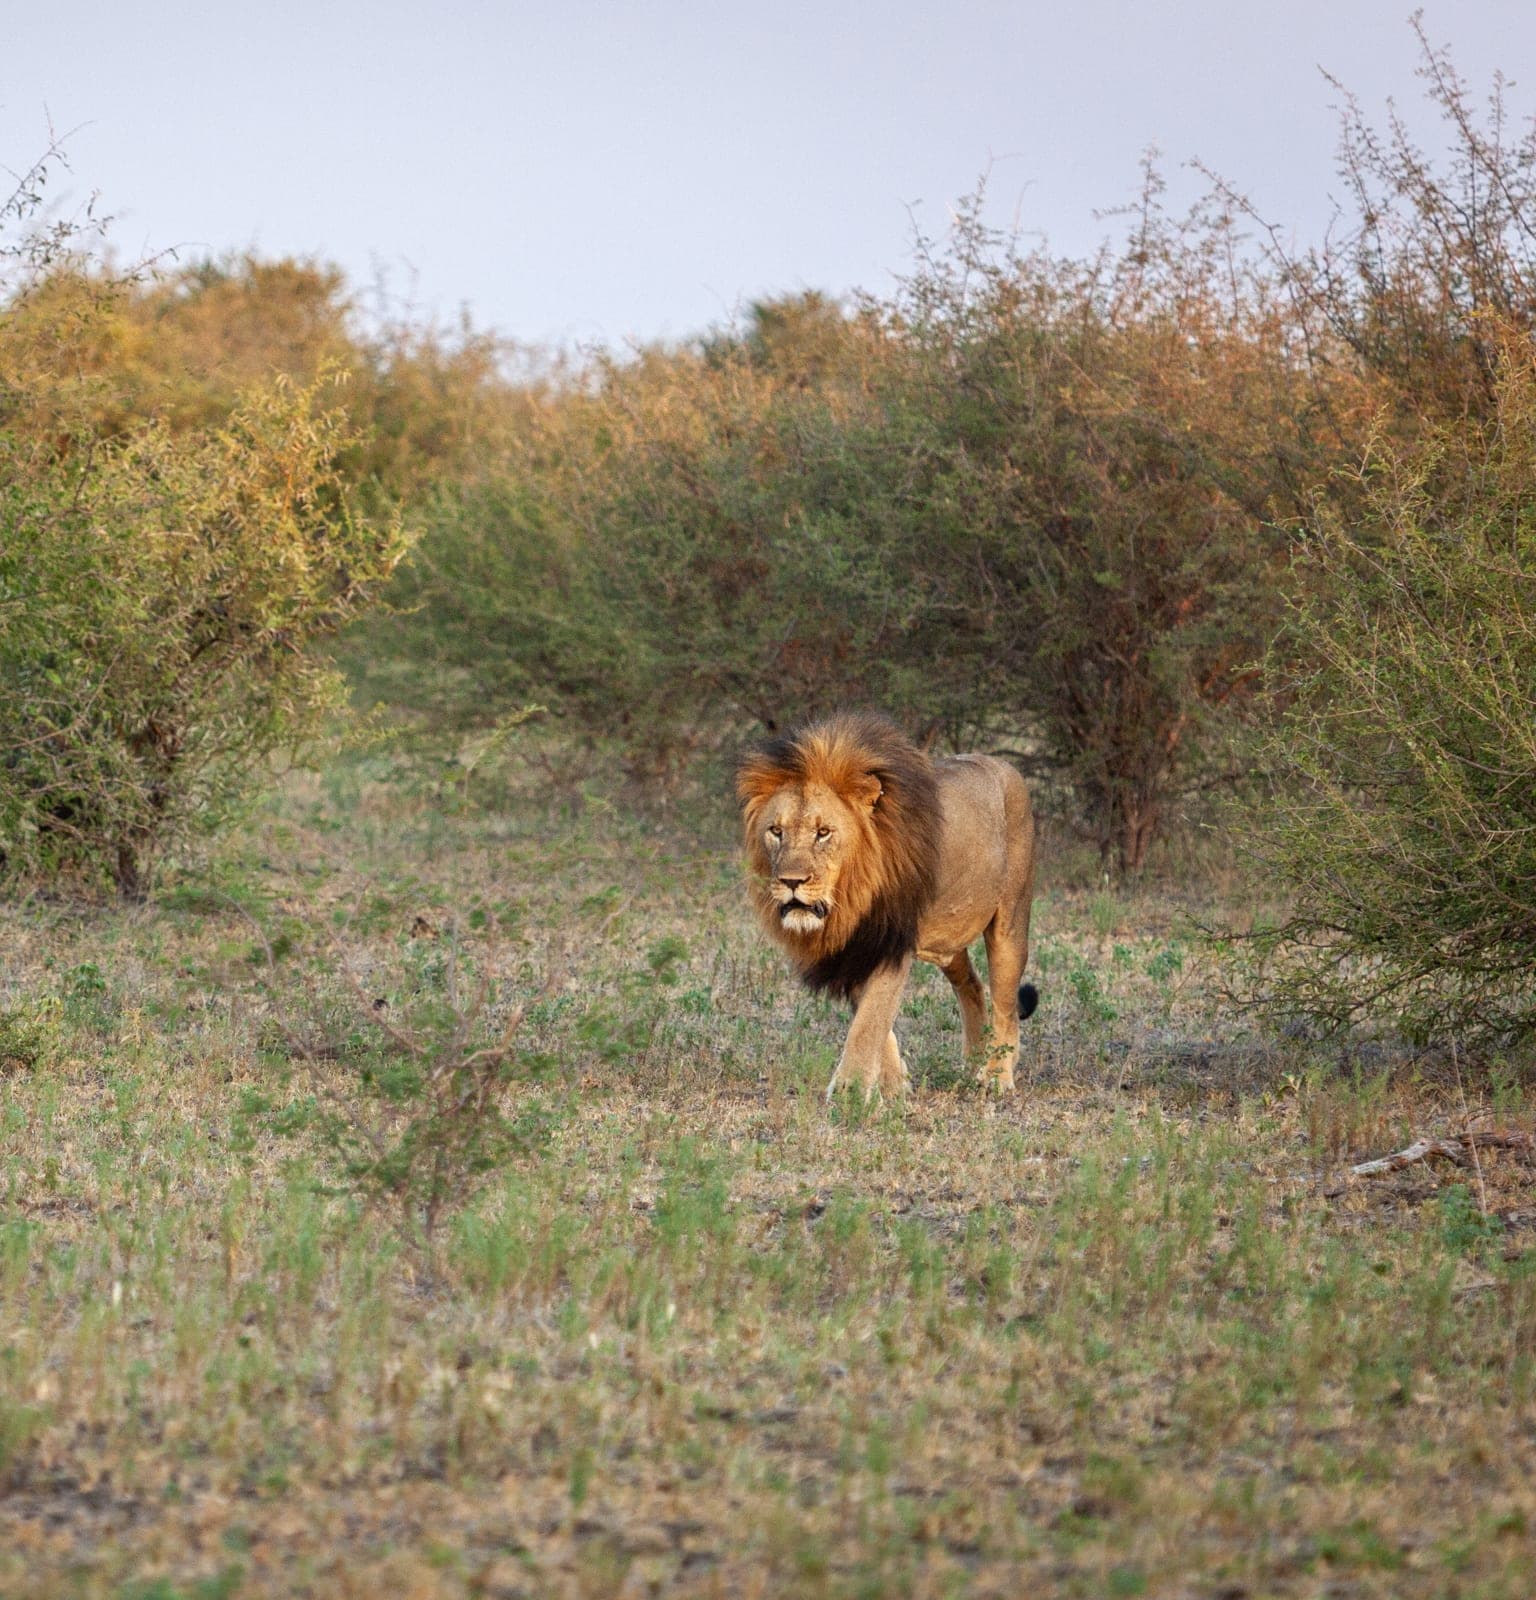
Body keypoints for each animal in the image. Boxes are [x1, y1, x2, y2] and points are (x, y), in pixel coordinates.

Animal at [737, 712, 1037, 1098]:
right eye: (776, 831)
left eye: (823, 832)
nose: (791, 882)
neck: (851, 898)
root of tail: (1005, 766)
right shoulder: (852, 949)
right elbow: (877, 1024)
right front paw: (895, 1089)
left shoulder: (892, 942)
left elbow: (870, 1022)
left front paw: (849, 1094)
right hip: (948, 940)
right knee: (972, 985)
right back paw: (973, 1063)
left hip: (1010, 923)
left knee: (1005, 1003)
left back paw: (997, 1076)